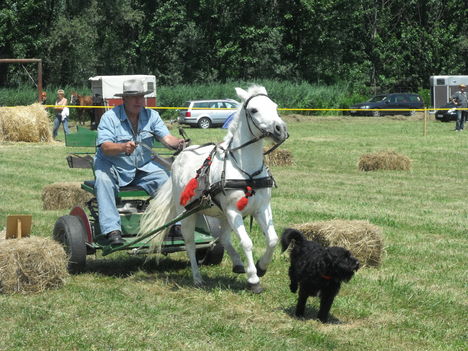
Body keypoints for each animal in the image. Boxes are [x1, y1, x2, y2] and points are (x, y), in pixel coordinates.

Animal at [139, 86, 288, 294]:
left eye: (275, 106)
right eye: (254, 110)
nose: (280, 129)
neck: (246, 170)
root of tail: (180, 155)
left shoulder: (262, 208)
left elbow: (272, 239)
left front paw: (261, 267)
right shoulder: (233, 211)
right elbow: (246, 242)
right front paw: (253, 279)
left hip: (221, 214)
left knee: (223, 238)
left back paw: (237, 264)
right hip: (188, 213)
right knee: (190, 243)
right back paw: (197, 277)